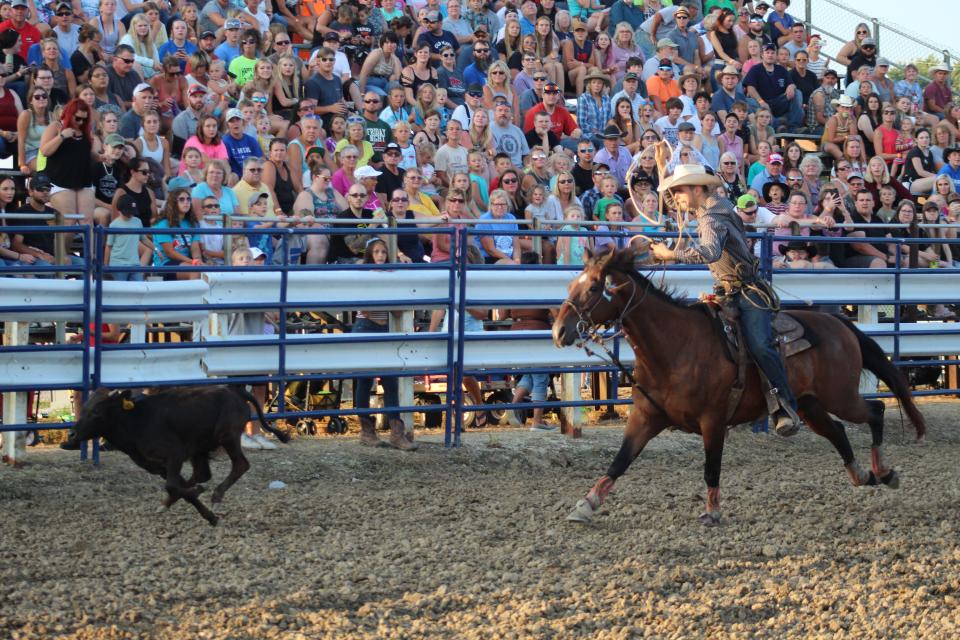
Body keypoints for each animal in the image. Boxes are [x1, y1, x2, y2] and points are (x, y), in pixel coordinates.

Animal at [552, 246, 928, 524]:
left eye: (594, 288)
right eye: (570, 286)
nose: (558, 332)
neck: (675, 345)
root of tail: (839, 323)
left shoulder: (713, 421)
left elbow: (711, 468)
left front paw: (712, 512)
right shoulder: (645, 418)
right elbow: (619, 462)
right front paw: (585, 505)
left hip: (840, 396)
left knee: (875, 410)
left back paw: (884, 471)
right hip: (810, 404)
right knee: (837, 431)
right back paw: (862, 475)